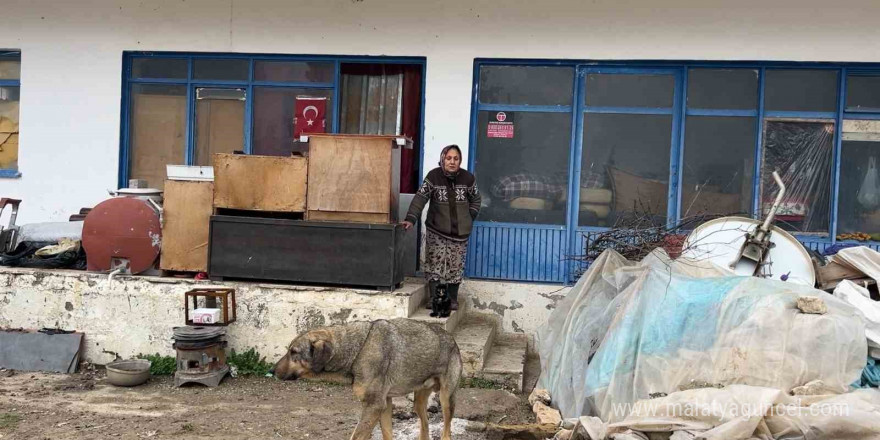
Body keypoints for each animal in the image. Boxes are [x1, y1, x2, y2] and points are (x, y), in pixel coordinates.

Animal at [272, 318, 464, 438]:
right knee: (425, 429)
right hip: (418, 403)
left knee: (446, 433)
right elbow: (387, 434)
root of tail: (452, 339)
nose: (272, 371)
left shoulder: (374, 406)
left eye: (293, 352)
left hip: (446, 400)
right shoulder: (384, 405)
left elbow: (356, 436)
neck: (358, 349)